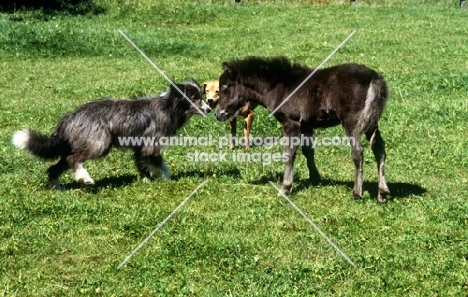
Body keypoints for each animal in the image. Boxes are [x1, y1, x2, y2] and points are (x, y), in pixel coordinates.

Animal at [13, 80, 210, 188]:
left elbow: (143, 165)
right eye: (194, 98)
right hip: (99, 143)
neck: (169, 106)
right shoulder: (150, 144)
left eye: (201, 96)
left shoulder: (140, 147)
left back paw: (58, 186)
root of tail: (69, 117)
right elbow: (161, 164)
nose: (209, 109)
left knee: (57, 165)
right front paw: (168, 180)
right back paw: (85, 178)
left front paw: (146, 180)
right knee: (72, 159)